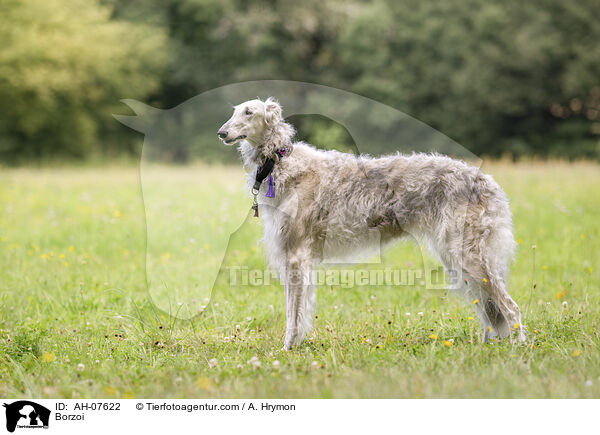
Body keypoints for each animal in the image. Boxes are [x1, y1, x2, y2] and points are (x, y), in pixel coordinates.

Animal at [217, 97, 524, 350]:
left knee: (511, 309)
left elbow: (293, 315)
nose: (221, 132)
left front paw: (287, 349)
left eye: (249, 112)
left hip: (468, 256)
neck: (280, 161)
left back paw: (519, 347)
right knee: (490, 313)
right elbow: (298, 312)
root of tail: (488, 182)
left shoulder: (295, 255)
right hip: (459, 259)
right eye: (233, 111)